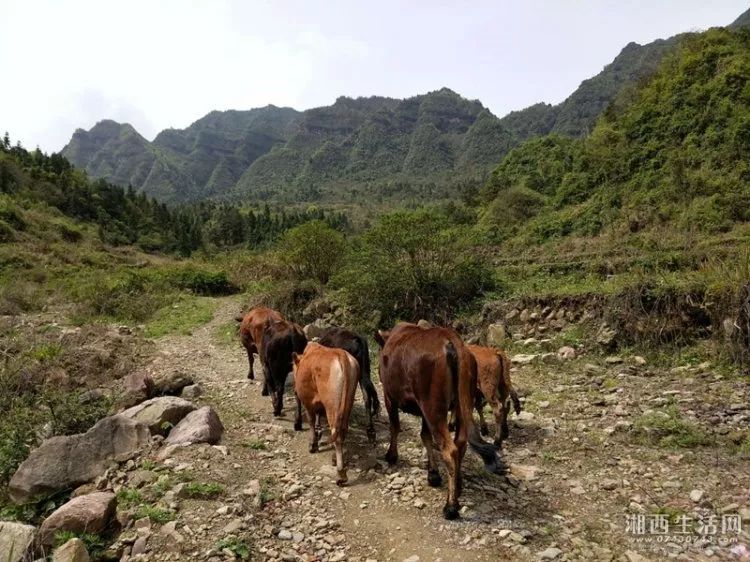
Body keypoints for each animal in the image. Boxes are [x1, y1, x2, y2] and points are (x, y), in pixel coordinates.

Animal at [292, 340, 360, 484]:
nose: (295, 390)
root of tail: (340, 354)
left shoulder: (308, 401)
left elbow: (311, 421)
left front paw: (313, 444)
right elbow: (318, 416)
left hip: (332, 406)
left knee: (336, 433)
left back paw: (341, 473)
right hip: (348, 402)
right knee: (342, 430)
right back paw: (335, 458)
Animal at [376, 322, 506, 520]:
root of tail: (452, 340)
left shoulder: (389, 396)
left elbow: (395, 427)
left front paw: (392, 455)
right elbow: (425, 436)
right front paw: (433, 474)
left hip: (433, 407)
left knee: (449, 449)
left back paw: (450, 506)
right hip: (461, 405)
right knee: (461, 443)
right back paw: (457, 487)